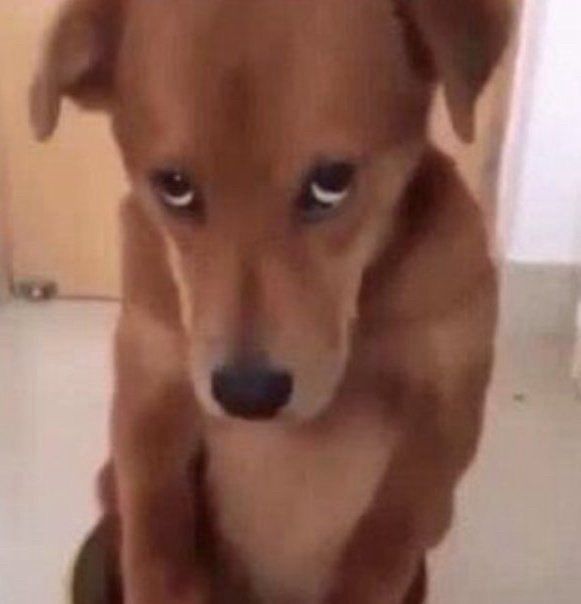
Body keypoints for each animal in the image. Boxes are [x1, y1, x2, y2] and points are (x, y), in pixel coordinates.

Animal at [31, 0, 511, 602]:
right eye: (174, 186)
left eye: (331, 181)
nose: (248, 394)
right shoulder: (151, 392)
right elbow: (157, 543)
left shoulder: (444, 416)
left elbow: (383, 545)